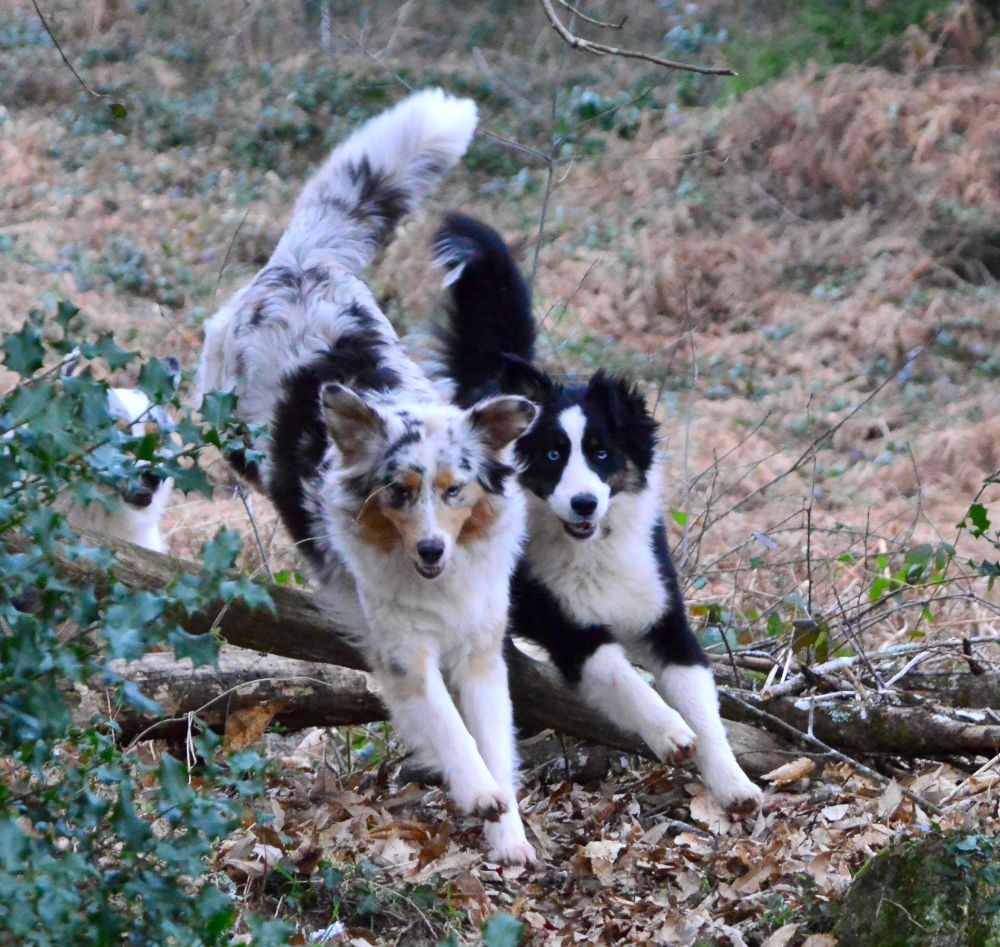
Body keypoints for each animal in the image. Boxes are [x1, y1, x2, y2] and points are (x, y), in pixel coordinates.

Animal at [201, 92, 540, 864]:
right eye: (397, 491)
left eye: (455, 490)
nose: (431, 549)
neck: (440, 583)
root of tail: (303, 260)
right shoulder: (404, 650)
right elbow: (448, 726)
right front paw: (475, 790)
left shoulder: (482, 648)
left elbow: (494, 736)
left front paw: (508, 836)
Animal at [434, 215, 760, 816]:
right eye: (553, 456)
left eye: (603, 454)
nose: (584, 502)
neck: (594, 547)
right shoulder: (570, 629)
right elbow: (622, 677)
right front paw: (670, 732)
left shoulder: (664, 615)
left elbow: (702, 700)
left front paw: (733, 783)